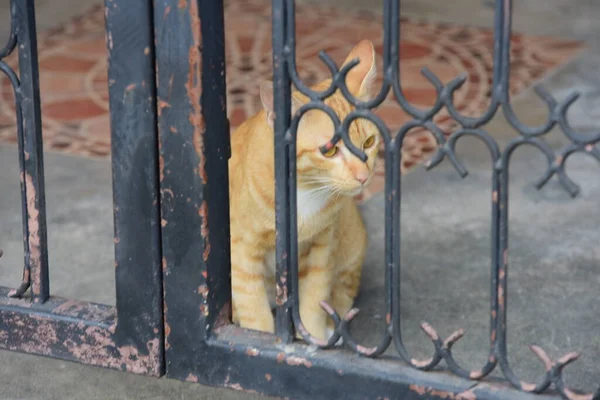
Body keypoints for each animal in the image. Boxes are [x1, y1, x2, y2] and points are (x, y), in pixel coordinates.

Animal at [229, 39, 384, 340]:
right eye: (330, 150)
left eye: (369, 142)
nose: (363, 176)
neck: (304, 190)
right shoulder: (243, 251)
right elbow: (253, 308)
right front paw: (261, 337)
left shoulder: (322, 246)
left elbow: (314, 299)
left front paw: (313, 335)